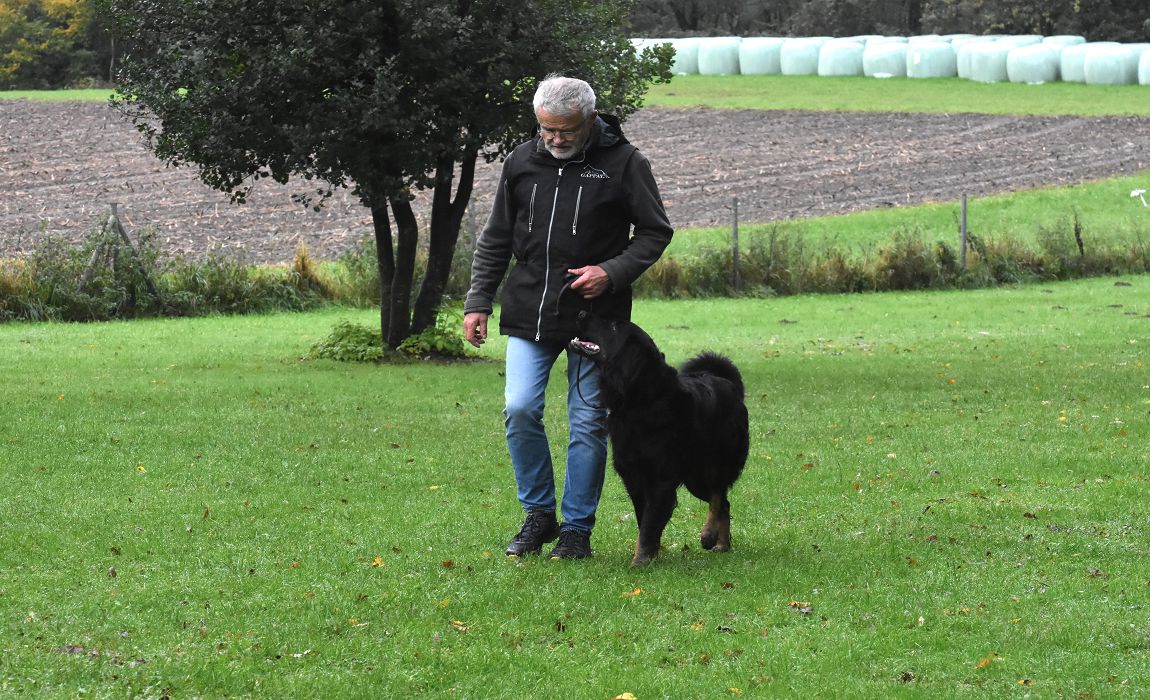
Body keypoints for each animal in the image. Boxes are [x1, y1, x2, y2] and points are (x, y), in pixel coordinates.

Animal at [570, 310, 749, 563]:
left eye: (614, 325)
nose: (581, 312)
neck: (641, 400)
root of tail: (727, 382)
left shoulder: (660, 480)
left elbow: (649, 524)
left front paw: (641, 560)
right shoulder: (634, 479)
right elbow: (644, 521)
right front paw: (650, 555)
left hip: (710, 466)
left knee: (718, 496)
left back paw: (709, 534)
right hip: (694, 477)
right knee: (724, 502)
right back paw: (722, 543)